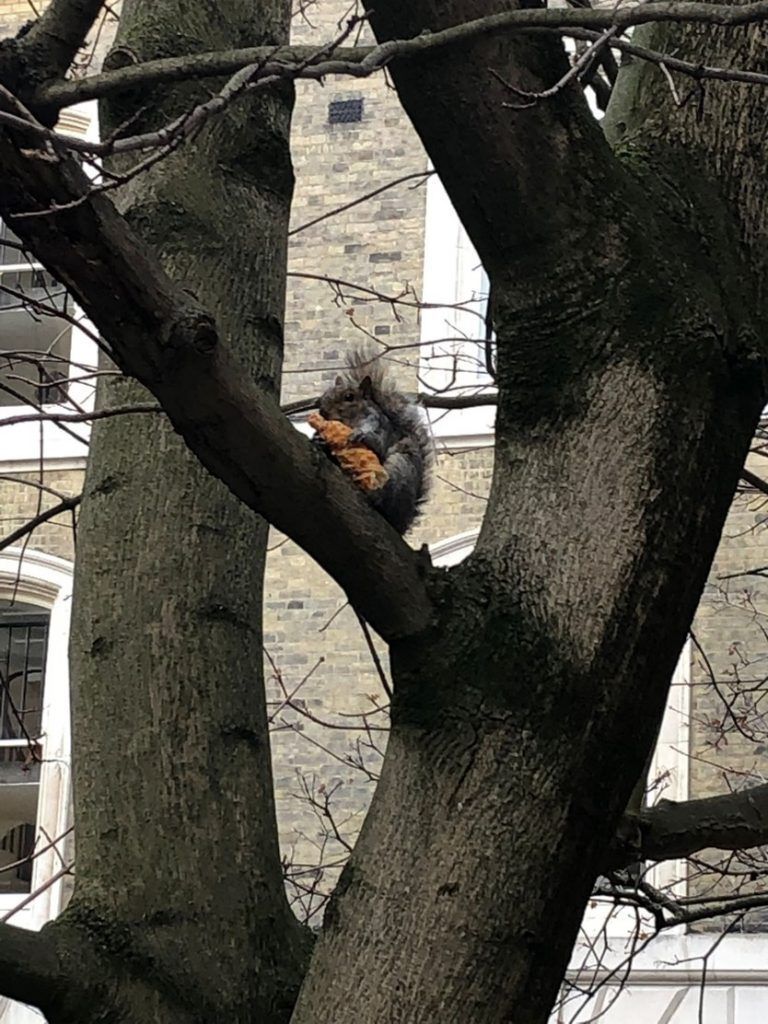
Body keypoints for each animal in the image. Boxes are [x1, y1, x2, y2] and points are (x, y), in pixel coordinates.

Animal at [311, 350, 434, 532]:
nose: (323, 411)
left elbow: (378, 445)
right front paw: (319, 440)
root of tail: (402, 522)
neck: (351, 421)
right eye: (324, 395)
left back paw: (374, 496)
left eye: (349, 397)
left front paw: (360, 434)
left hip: (399, 467)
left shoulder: (380, 427)